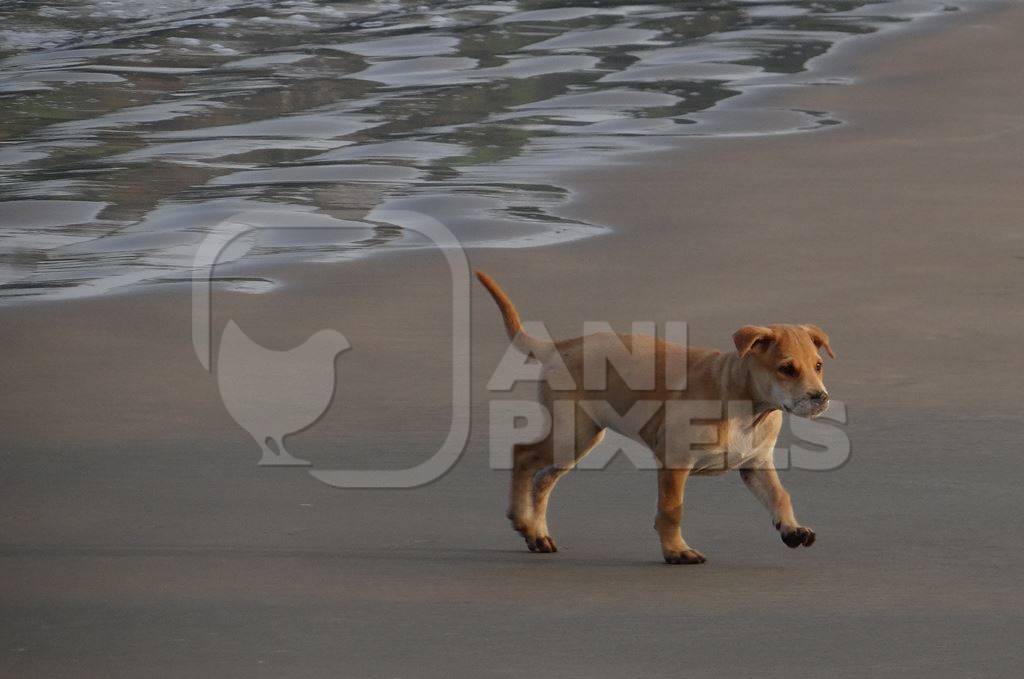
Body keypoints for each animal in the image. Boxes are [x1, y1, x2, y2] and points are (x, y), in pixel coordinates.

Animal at [477, 270, 831, 561]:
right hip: (569, 434)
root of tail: (559, 346)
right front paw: (676, 550)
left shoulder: (756, 464)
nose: (821, 398)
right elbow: (671, 510)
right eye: (787, 369)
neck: (746, 405)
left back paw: (537, 535)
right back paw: (523, 522)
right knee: (523, 456)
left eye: (818, 365)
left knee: (543, 479)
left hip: (581, 437)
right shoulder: (674, 461)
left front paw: (792, 529)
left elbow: (780, 496)